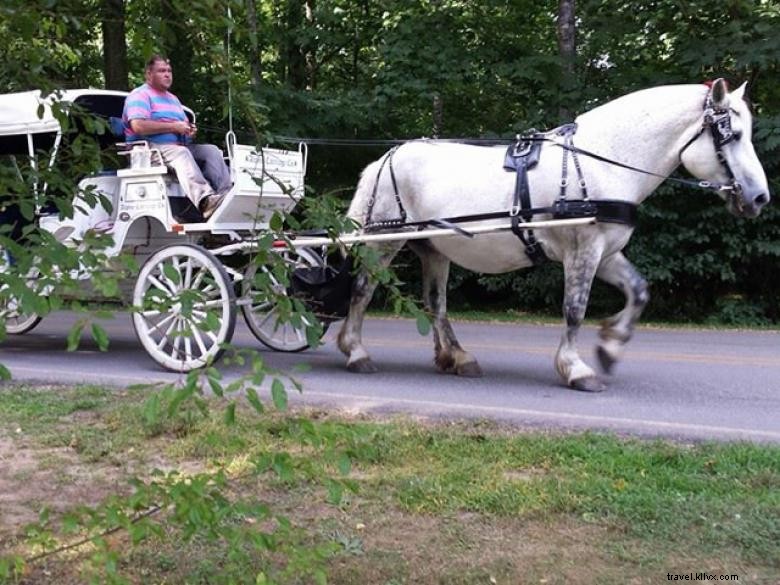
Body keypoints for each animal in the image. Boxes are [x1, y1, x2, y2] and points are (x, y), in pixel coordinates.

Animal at [336, 76, 768, 388]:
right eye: (732, 135)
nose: (760, 197)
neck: (604, 162)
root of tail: (385, 157)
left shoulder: (605, 252)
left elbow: (639, 291)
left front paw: (610, 345)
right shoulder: (583, 250)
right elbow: (574, 309)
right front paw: (577, 369)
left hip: (434, 248)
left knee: (436, 304)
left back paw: (457, 357)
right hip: (385, 241)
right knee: (362, 289)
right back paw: (355, 351)